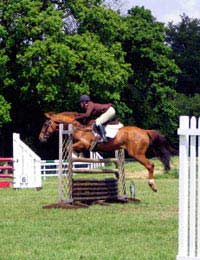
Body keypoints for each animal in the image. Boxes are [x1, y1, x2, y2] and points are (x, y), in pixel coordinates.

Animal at [39, 110, 175, 192]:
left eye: (45, 124)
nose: (40, 138)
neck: (79, 129)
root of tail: (145, 131)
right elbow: (71, 148)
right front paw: (76, 156)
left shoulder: (85, 144)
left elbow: (69, 148)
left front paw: (75, 156)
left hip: (137, 154)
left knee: (150, 165)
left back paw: (152, 185)